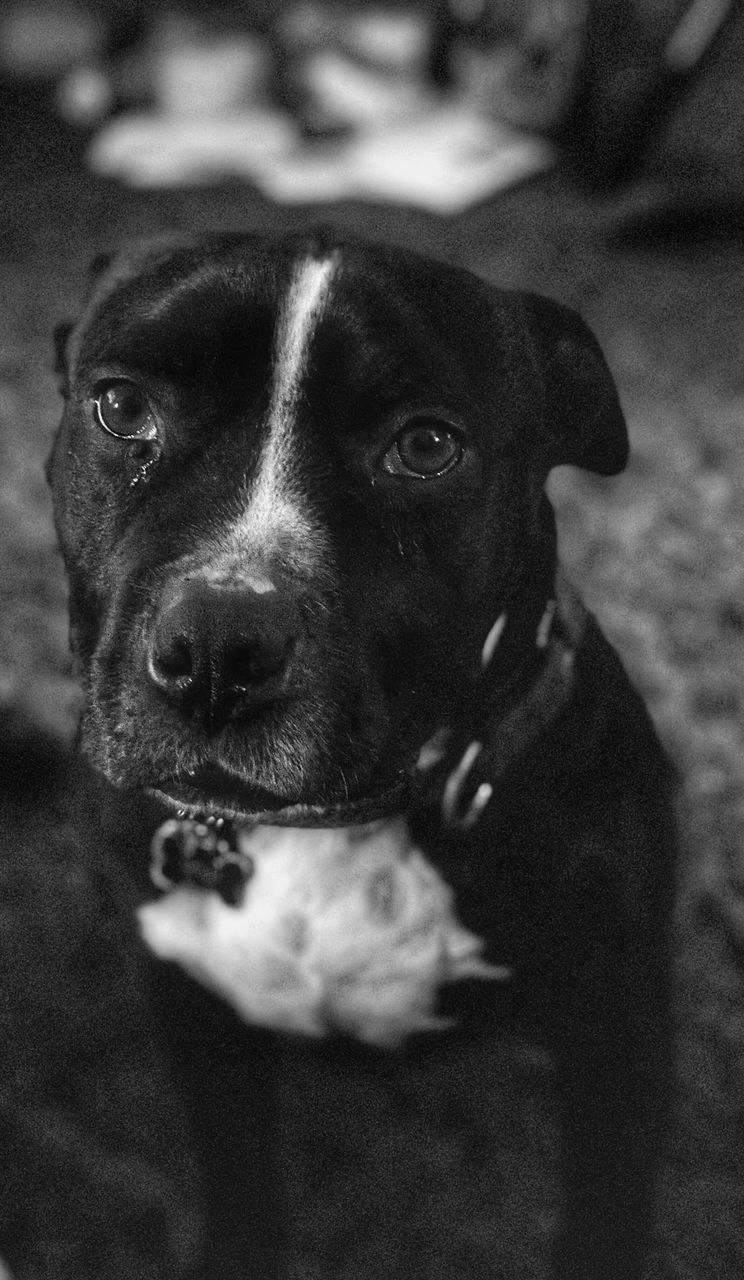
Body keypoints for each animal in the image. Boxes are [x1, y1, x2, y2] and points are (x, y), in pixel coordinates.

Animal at [46, 232, 671, 1280]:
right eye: (123, 407)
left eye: (425, 448)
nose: (216, 646)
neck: (333, 831)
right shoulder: (192, 1015)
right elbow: (240, 1186)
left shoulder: (613, 1041)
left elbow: (604, 1214)